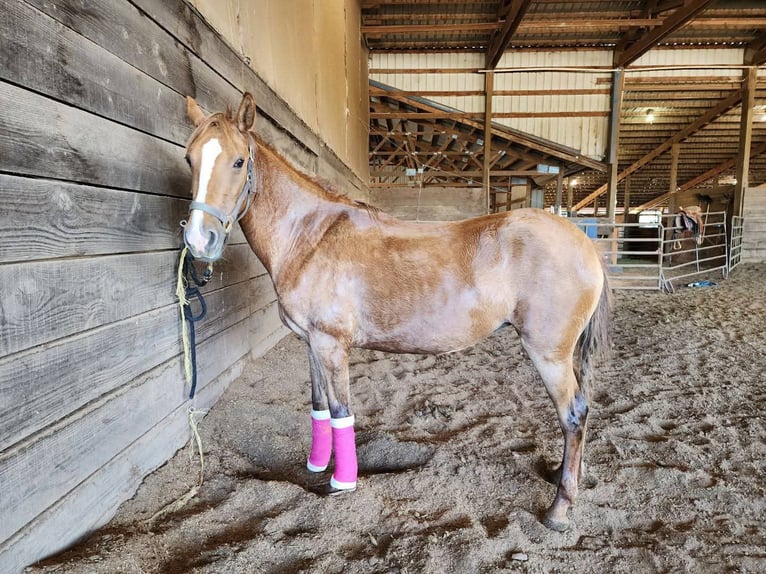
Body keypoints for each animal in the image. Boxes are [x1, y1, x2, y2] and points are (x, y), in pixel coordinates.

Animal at [181, 92, 611, 532]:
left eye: (238, 161)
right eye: (190, 159)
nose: (200, 240)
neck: (310, 237)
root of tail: (585, 244)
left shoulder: (331, 345)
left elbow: (341, 412)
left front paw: (342, 482)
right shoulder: (311, 343)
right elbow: (319, 406)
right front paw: (316, 466)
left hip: (548, 353)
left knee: (573, 415)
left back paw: (559, 508)